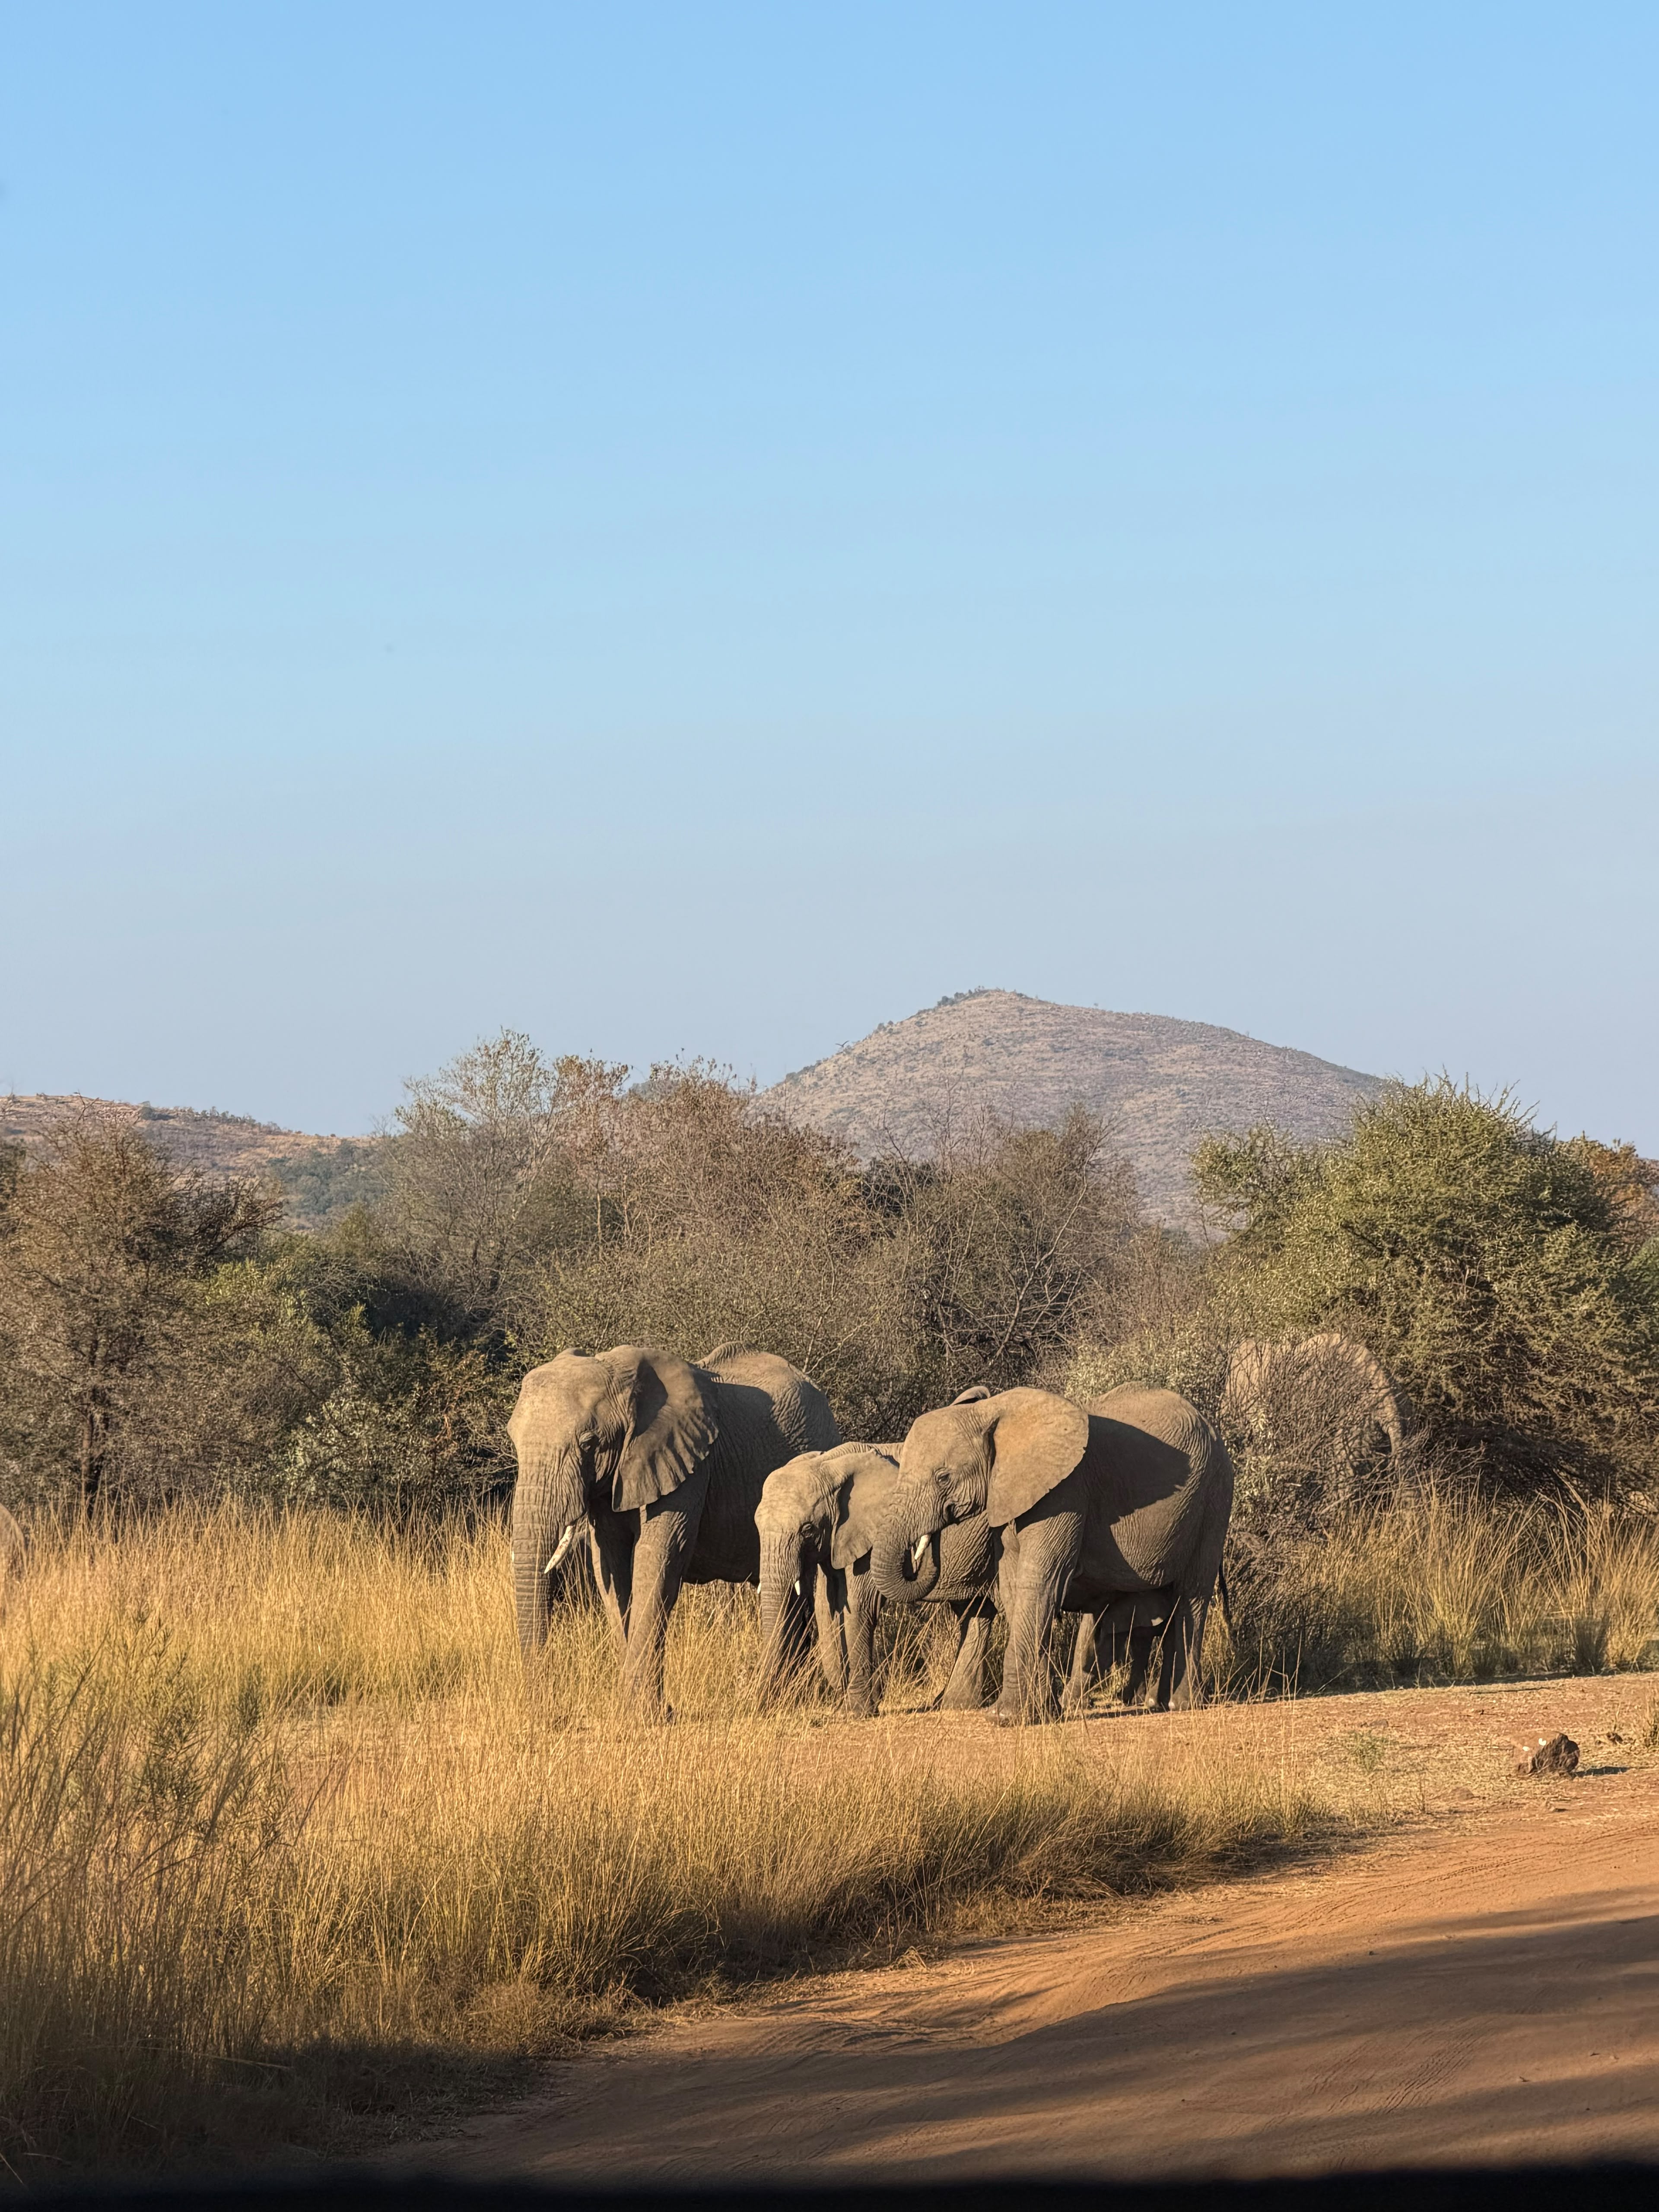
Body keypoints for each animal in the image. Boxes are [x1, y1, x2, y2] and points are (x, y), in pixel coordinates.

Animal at [508, 1342, 840, 1713]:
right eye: (514, 1441)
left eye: (589, 1443)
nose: (543, 1704)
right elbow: (610, 1568)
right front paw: (633, 1707)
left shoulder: (689, 1461)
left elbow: (657, 1560)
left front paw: (647, 1714)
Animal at [754, 1442, 999, 1717]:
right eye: (757, 1527)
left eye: (808, 1530)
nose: (765, 1708)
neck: (829, 1465)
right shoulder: (836, 1542)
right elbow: (827, 1609)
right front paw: (850, 1696)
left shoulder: (871, 1535)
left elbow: (858, 1605)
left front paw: (856, 1710)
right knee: (976, 1611)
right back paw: (955, 1704)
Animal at [869, 1384, 1233, 1723]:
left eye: (943, 1477)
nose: (929, 1547)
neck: (992, 1412)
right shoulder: (1010, 1493)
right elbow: (1014, 1586)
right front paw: (1044, 1714)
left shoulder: (1065, 1491)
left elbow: (1040, 1579)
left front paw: (1006, 1718)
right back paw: (1158, 1703)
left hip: (1215, 1495)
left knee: (1192, 1593)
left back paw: (1179, 1705)